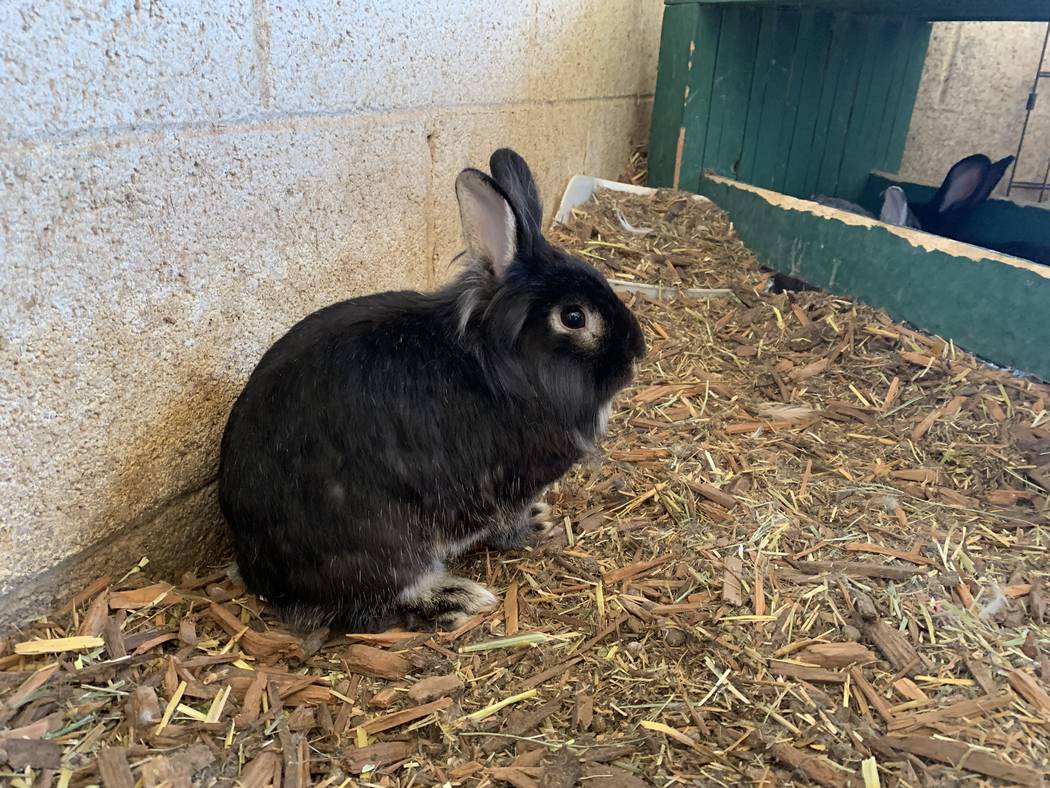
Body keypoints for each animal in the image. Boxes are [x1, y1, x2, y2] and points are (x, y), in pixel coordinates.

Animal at [219, 149, 646, 634]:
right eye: (573, 317)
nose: (637, 354)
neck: (506, 364)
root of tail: (263, 575)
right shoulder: (505, 487)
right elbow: (507, 527)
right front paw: (535, 529)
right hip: (387, 543)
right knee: (379, 598)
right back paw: (454, 597)